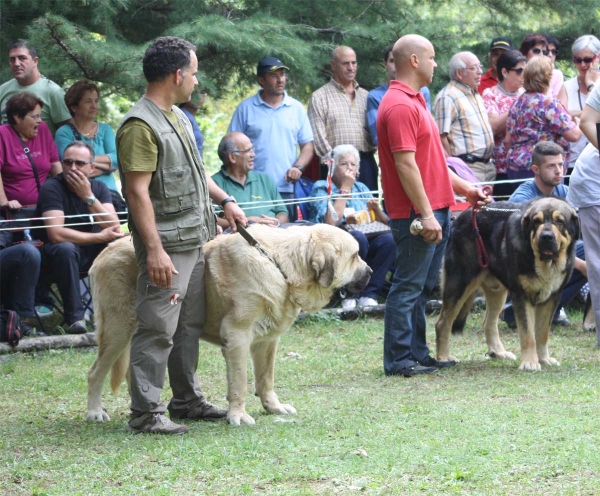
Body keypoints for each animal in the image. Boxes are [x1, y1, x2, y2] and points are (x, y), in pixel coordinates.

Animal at [86, 223, 372, 424]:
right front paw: (238, 415)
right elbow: (240, 381)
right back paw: (95, 412)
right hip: (118, 329)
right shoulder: (237, 337)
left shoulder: (267, 340)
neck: (281, 266)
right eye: (355, 256)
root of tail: (104, 252)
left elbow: (266, 378)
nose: (370, 272)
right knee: (95, 372)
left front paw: (273, 407)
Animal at [436, 198, 576, 372]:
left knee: (488, 322)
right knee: (442, 323)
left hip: (498, 292)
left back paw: (498, 352)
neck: (544, 264)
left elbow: (542, 334)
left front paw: (544, 359)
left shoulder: (551, 298)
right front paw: (530, 362)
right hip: (459, 284)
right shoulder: (521, 296)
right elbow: (528, 334)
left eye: (559, 221)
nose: (546, 236)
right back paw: (443, 357)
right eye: (536, 222)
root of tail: (465, 214)